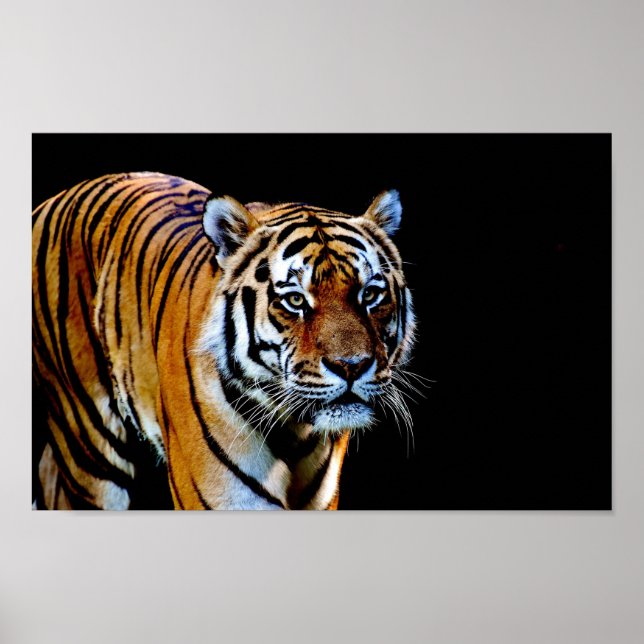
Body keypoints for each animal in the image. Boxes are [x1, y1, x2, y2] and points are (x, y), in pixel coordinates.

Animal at [32, 172, 416, 510]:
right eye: (295, 300)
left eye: (370, 294)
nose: (351, 367)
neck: (295, 434)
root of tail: (56, 198)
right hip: (90, 448)